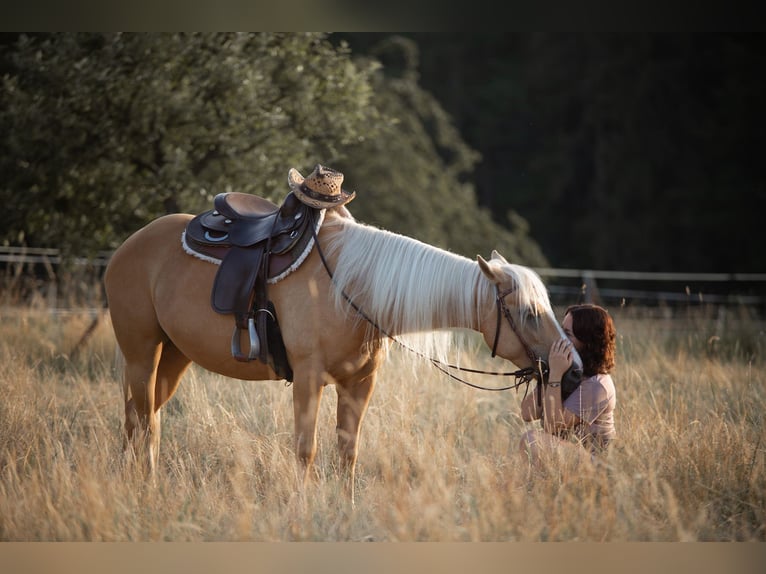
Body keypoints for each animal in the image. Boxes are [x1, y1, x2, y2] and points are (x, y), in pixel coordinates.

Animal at [102, 200, 584, 502]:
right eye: (527, 312)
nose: (575, 370)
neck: (352, 289)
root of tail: (128, 246)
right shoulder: (309, 380)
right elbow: (306, 449)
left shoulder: (359, 384)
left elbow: (348, 452)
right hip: (142, 353)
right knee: (141, 420)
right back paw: (144, 487)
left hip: (173, 356)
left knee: (144, 419)